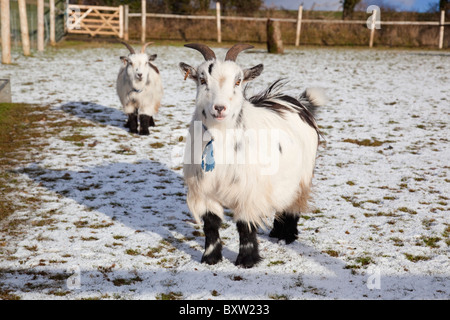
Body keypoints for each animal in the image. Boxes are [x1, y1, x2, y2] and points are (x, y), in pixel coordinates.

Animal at [180, 42, 326, 268]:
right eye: (202, 79)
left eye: (238, 80)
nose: (219, 108)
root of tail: (297, 102)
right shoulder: (203, 190)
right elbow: (211, 224)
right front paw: (210, 258)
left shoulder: (249, 192)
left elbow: (245, 226)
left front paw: (246, 260)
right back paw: (276, 233)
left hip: (303, 175)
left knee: (293, 202)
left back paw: (286, 236)